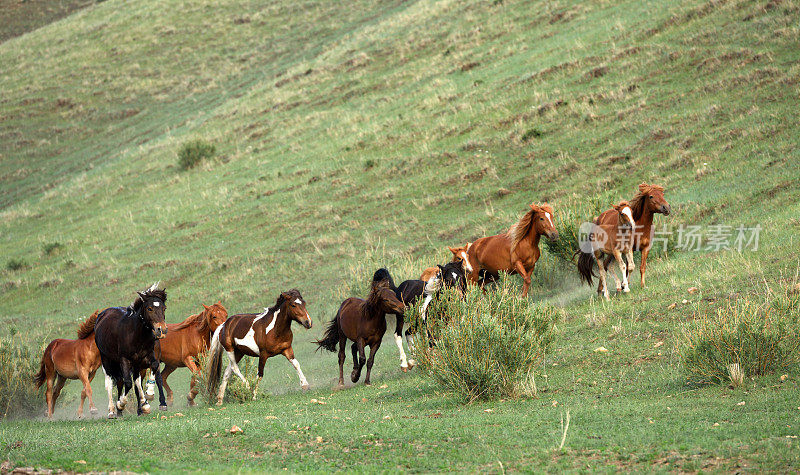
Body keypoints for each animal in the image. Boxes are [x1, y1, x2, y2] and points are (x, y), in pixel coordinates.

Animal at [94, 284, 169, 418]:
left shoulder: (145, 357)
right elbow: (128, 383)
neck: (135, 333)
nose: (162, 330)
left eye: (164, 308)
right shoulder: (124, 359)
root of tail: (102, 315)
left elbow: (153, 368)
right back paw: (112, 410)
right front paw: (121, 404)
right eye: (149, 308)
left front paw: (149, 394)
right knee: (110, 382)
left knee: (126, 381)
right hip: (106, 359)